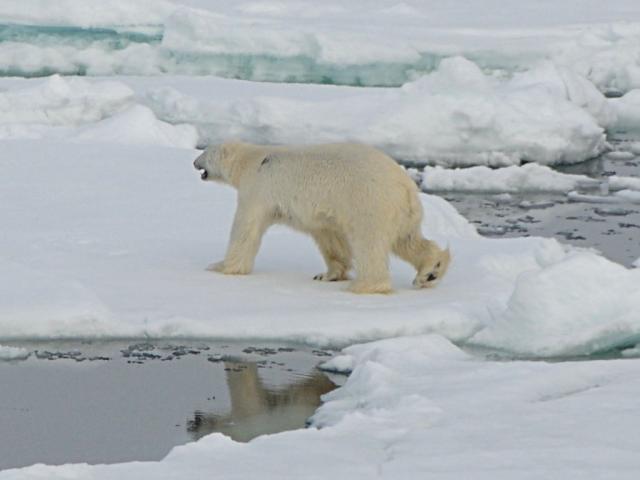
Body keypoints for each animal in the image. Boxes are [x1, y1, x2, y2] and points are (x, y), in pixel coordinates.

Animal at [195, 141, 450, 294]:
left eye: (204, 152)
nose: (194, 162)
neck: (254, 160)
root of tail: (405, 185)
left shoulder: (257, 190)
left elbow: (245, 230)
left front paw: (219, 266)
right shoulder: (323, 214)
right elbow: (329, 237)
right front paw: (327, 275)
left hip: (369, 202)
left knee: (369, 244)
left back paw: (365, 285)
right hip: (402, 212)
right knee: (408, 240)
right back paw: (431, 271)